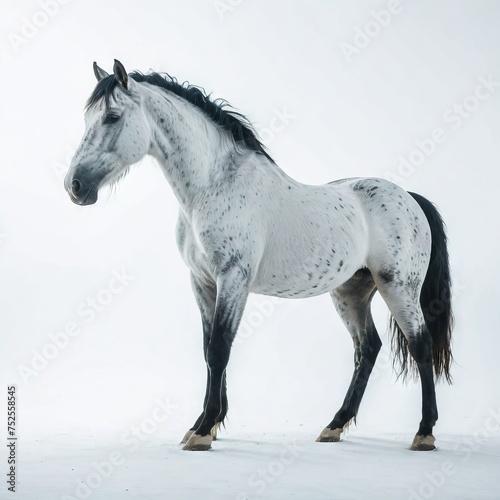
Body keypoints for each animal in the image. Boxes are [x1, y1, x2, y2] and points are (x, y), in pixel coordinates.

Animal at [63, 60, 454, 452]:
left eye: (112, 117)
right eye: (87, 119)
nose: (74, 186)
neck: (213, 186)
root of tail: (410, 197)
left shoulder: (233, 278)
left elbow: (220, 348)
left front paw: (203, 430)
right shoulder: (202, 281)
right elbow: (207, 350)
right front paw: (204, 424)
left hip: (398, 288)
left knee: (420, 345)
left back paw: (424, 432)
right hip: (351, 292)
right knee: (367, 349)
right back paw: (334, 426)